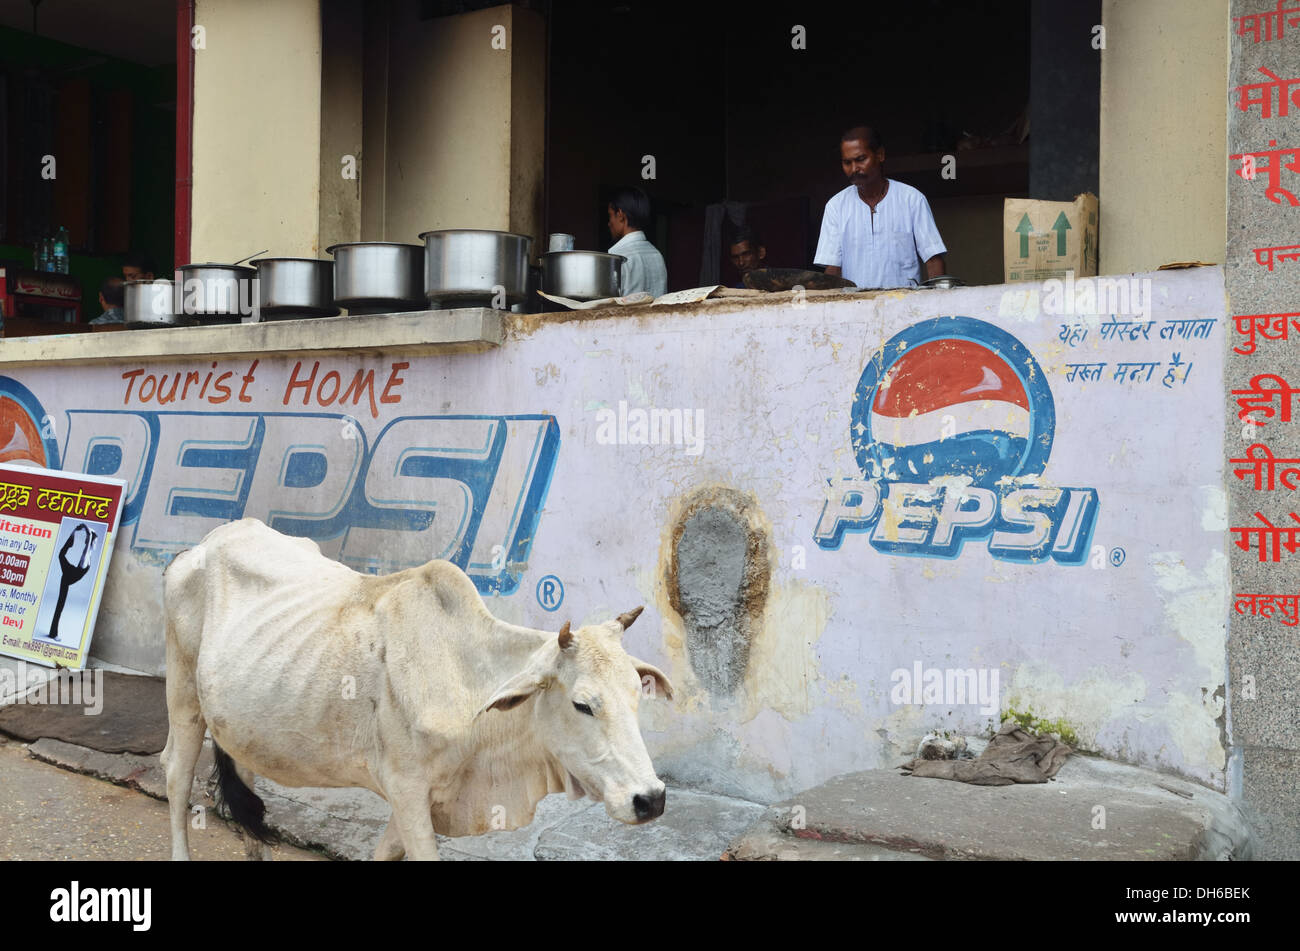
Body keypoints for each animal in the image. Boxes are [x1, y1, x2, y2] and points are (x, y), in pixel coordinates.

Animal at [157, 519, 676, 862]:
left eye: (637, 696)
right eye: (582, 704)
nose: (651, 799)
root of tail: (202, 544)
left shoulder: (421, 797)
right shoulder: (406, 788)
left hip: (242, 725)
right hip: (184, 697)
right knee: (176, 778)